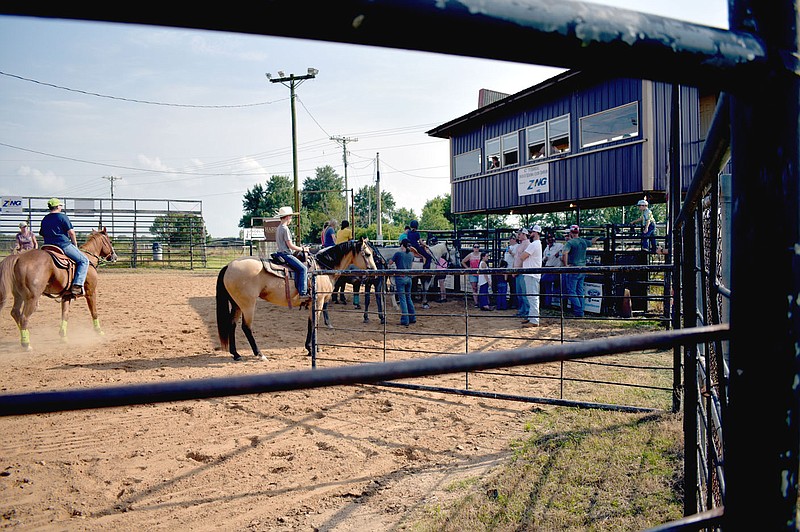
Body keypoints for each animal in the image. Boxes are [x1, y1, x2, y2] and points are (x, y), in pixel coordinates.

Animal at [212, 238, 376, 360]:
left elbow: (310, 324)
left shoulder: (312, 303)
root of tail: (229, 266)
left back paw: (236, 354)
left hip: (237, 304)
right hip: (248, 305)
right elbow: (314, 324)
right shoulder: (319, 301)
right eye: (367, 254)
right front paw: (314, 348)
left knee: (232, 324)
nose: (374, 272)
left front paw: (310, 348)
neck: (321, 268)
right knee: (246, 327)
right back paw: (259, 354)